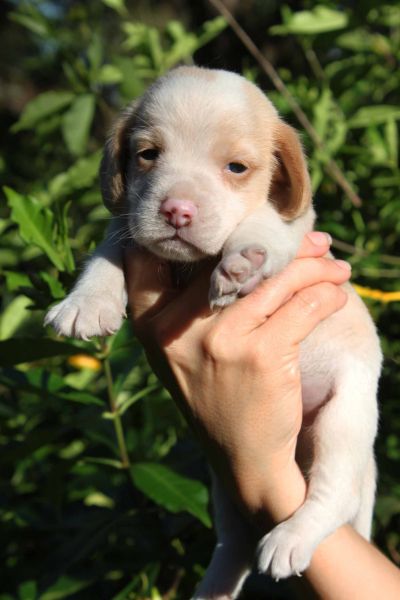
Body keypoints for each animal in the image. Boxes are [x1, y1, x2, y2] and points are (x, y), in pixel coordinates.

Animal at [43, 67, 382, 600]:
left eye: (236, 167)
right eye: (148, 154)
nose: (177, 211)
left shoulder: (294, 224)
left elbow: (263, 222)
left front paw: (243, 261)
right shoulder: (127, 227)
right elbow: (106, 252)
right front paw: (86, 304)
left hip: (344, 420)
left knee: (333, 493)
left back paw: (292, 536)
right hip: (228, 485)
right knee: (234, 544)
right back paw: (214, 588)